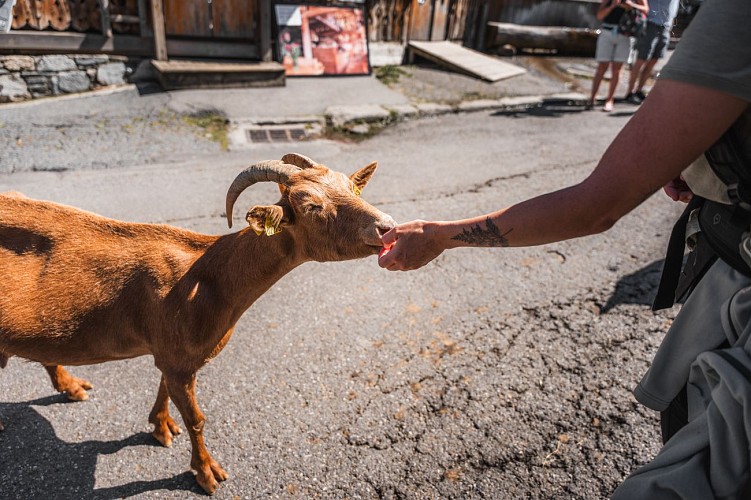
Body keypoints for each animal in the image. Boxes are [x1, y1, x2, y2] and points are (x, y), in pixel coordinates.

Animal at [0, 153, 395, 494]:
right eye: (312, 206)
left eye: (353, 188)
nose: (387, 228)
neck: (206, 277)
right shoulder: (178, 358)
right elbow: (198, 419)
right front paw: (206, 472)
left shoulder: (173, 356)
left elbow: (164, 388)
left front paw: (161, 426)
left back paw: (70, 386)